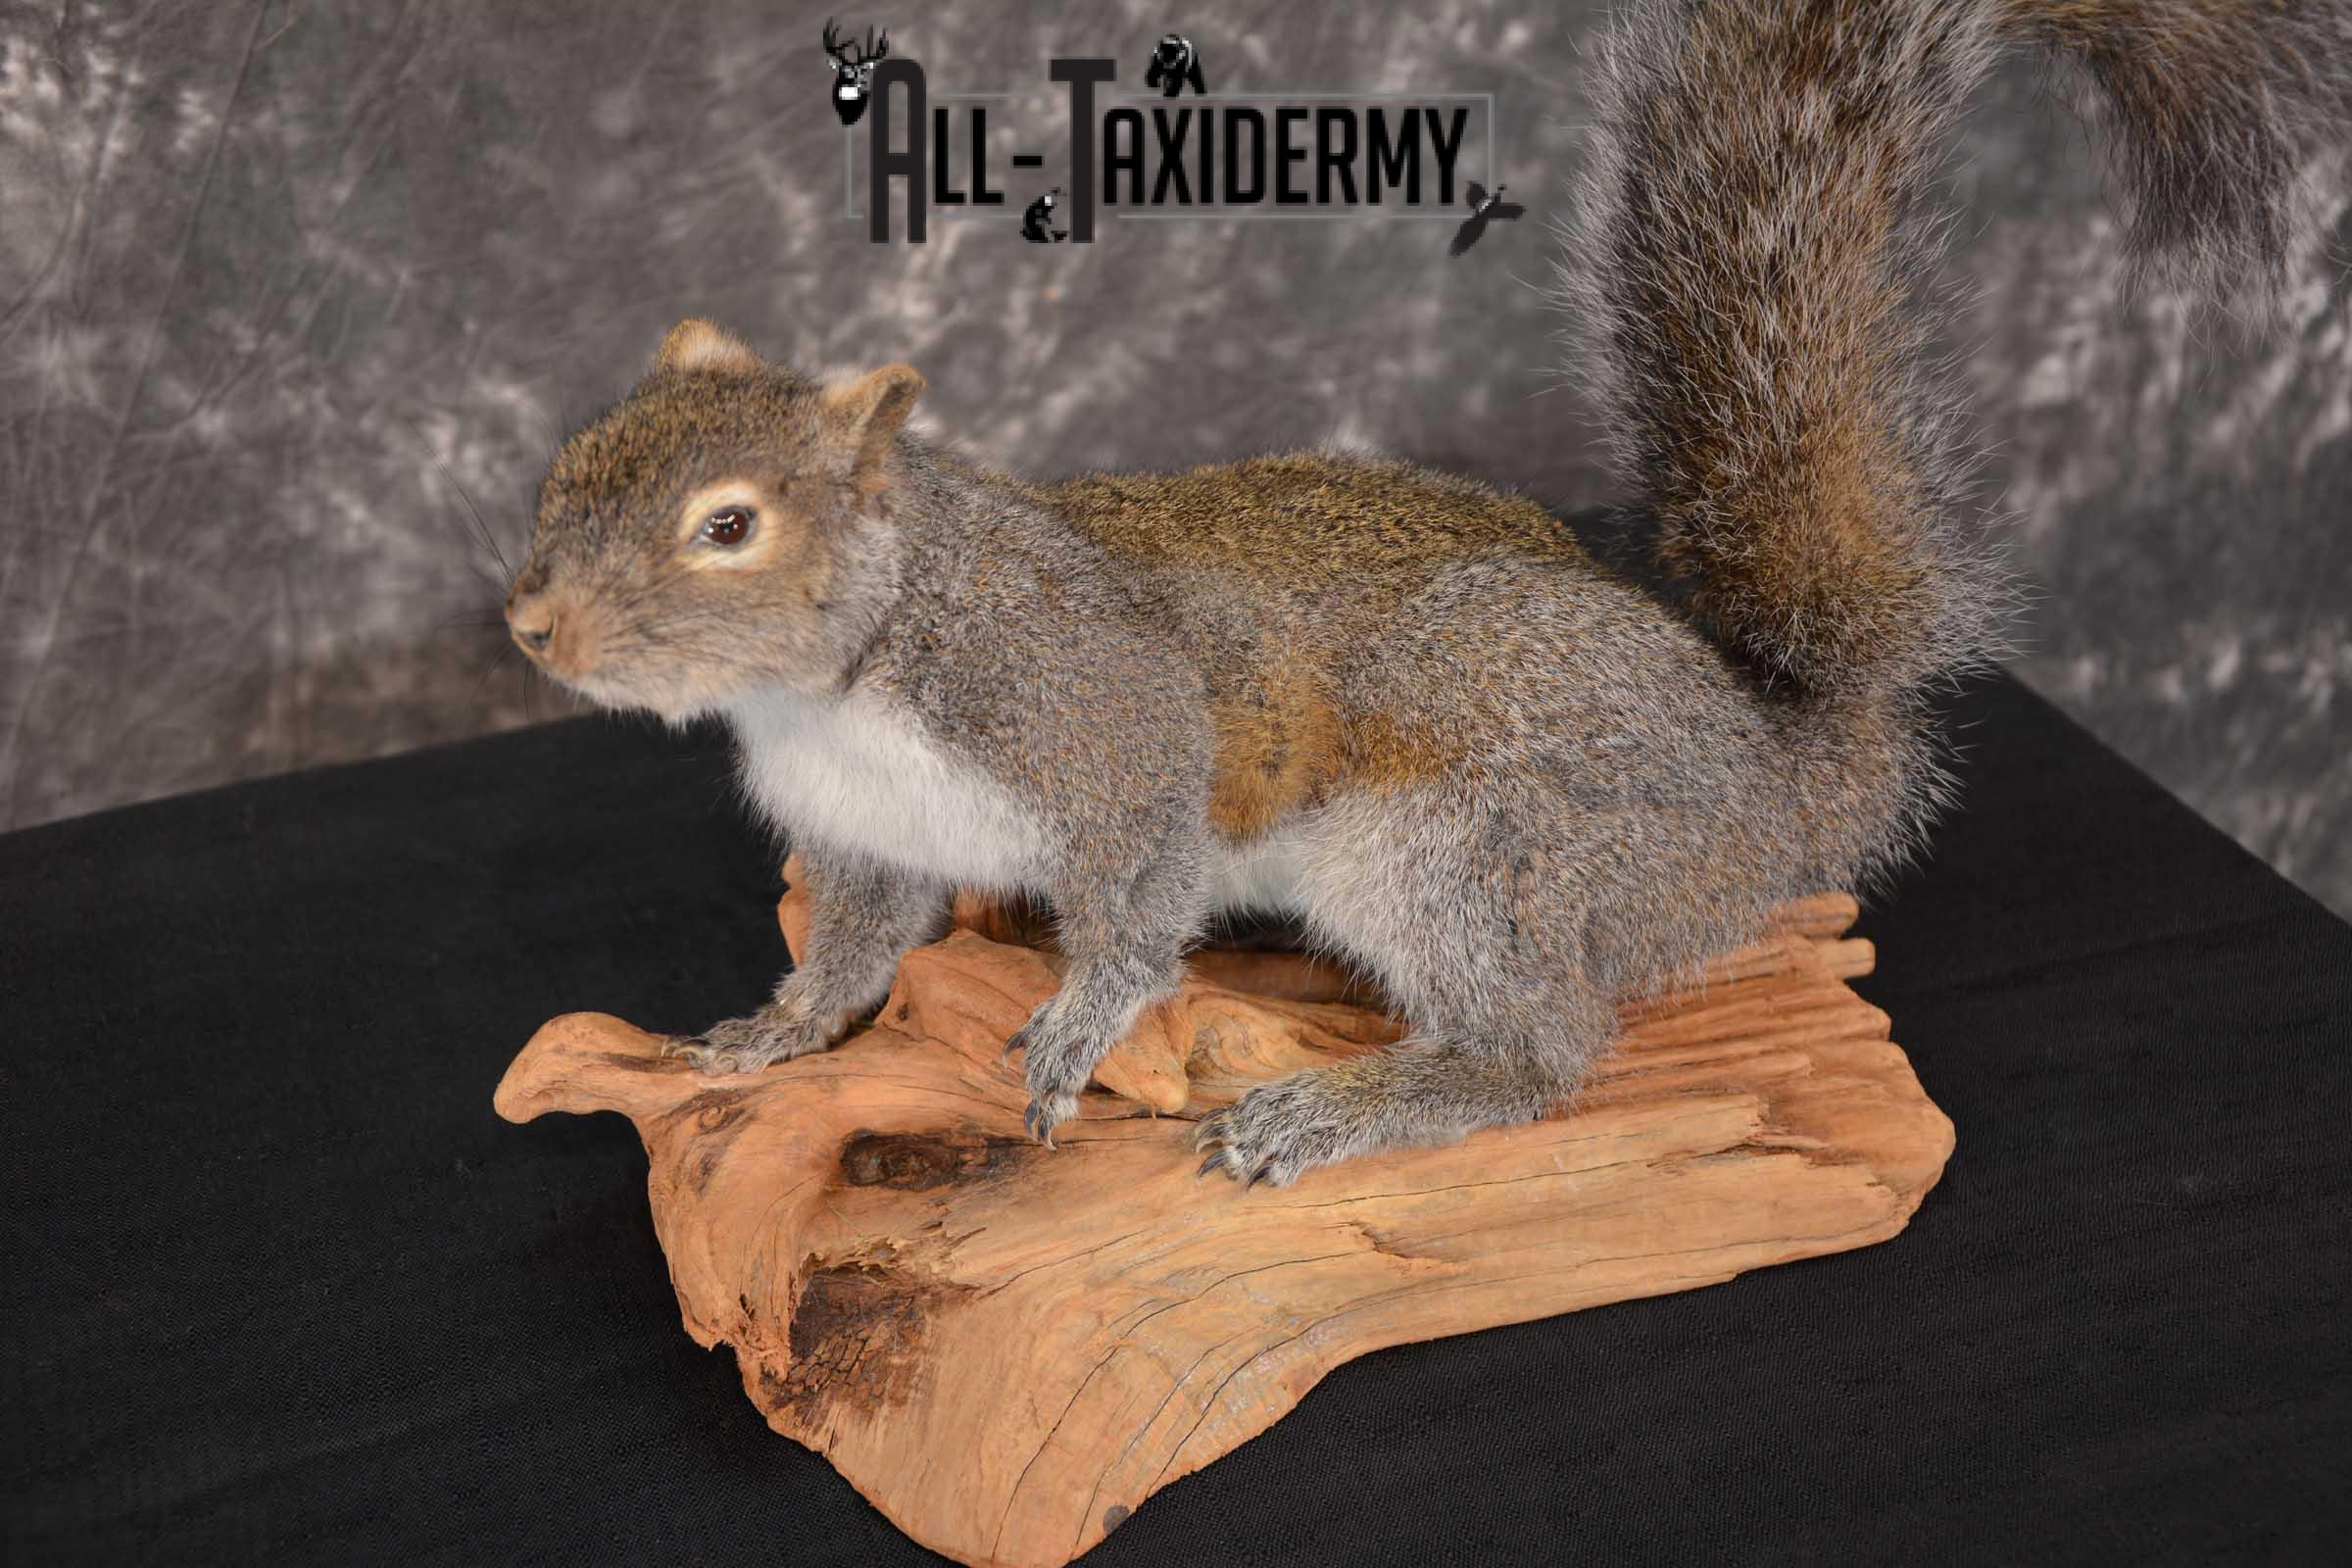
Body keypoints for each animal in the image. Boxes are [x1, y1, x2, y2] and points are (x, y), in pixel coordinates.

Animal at [505, 0, 2351, 1187]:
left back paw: (1351, 1111)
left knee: (1541, 1053)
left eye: (729, 525)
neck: (838, 672)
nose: (532, 629)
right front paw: (769, 1031)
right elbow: (857, 950)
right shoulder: (874, 837)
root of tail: (1779, 788)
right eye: (576, 455)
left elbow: (1145, 875)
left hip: (1472, 838)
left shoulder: (1102, 712)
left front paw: (1075, 1028)